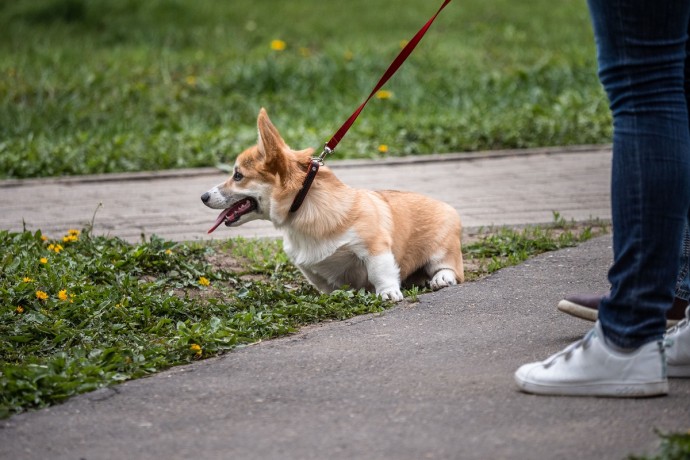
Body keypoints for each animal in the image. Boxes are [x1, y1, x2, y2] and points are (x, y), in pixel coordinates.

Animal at [202, 108, 464, 302]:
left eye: (237, 176)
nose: (203, 197)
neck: (303, 205)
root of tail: (446, 206)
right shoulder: (310, 268)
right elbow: (326, 284)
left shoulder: (374, 246)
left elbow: (380, 272)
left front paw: (388, 292)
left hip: (441, 249)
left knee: (450, 268)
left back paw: (442, 278)